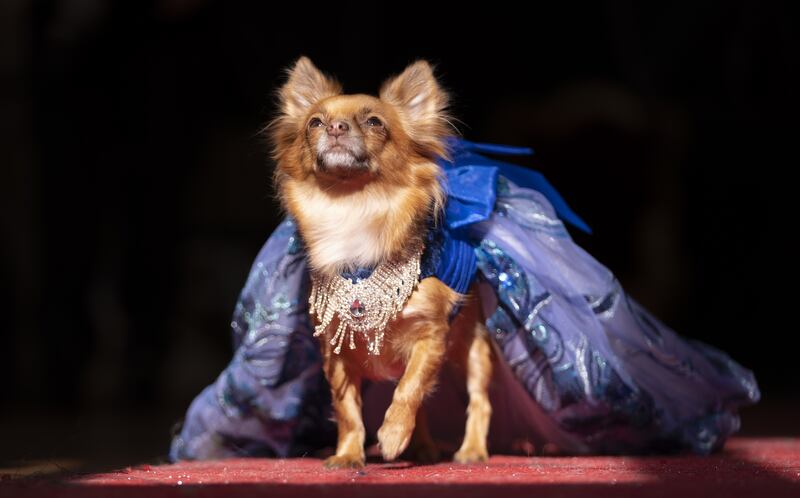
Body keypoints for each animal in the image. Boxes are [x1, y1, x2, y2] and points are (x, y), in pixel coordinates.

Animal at [270, 56, 494, 468]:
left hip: (474, 348)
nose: (336, 127)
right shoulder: (335, 352)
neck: (353, 209)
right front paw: (347, 455)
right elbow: (347, 410)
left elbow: (410, 388)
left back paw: (470, 450)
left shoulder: (431, 337)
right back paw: (420, 447)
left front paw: (391, 434)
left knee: (479, 400)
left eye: (374, 122)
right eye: (314, 122)